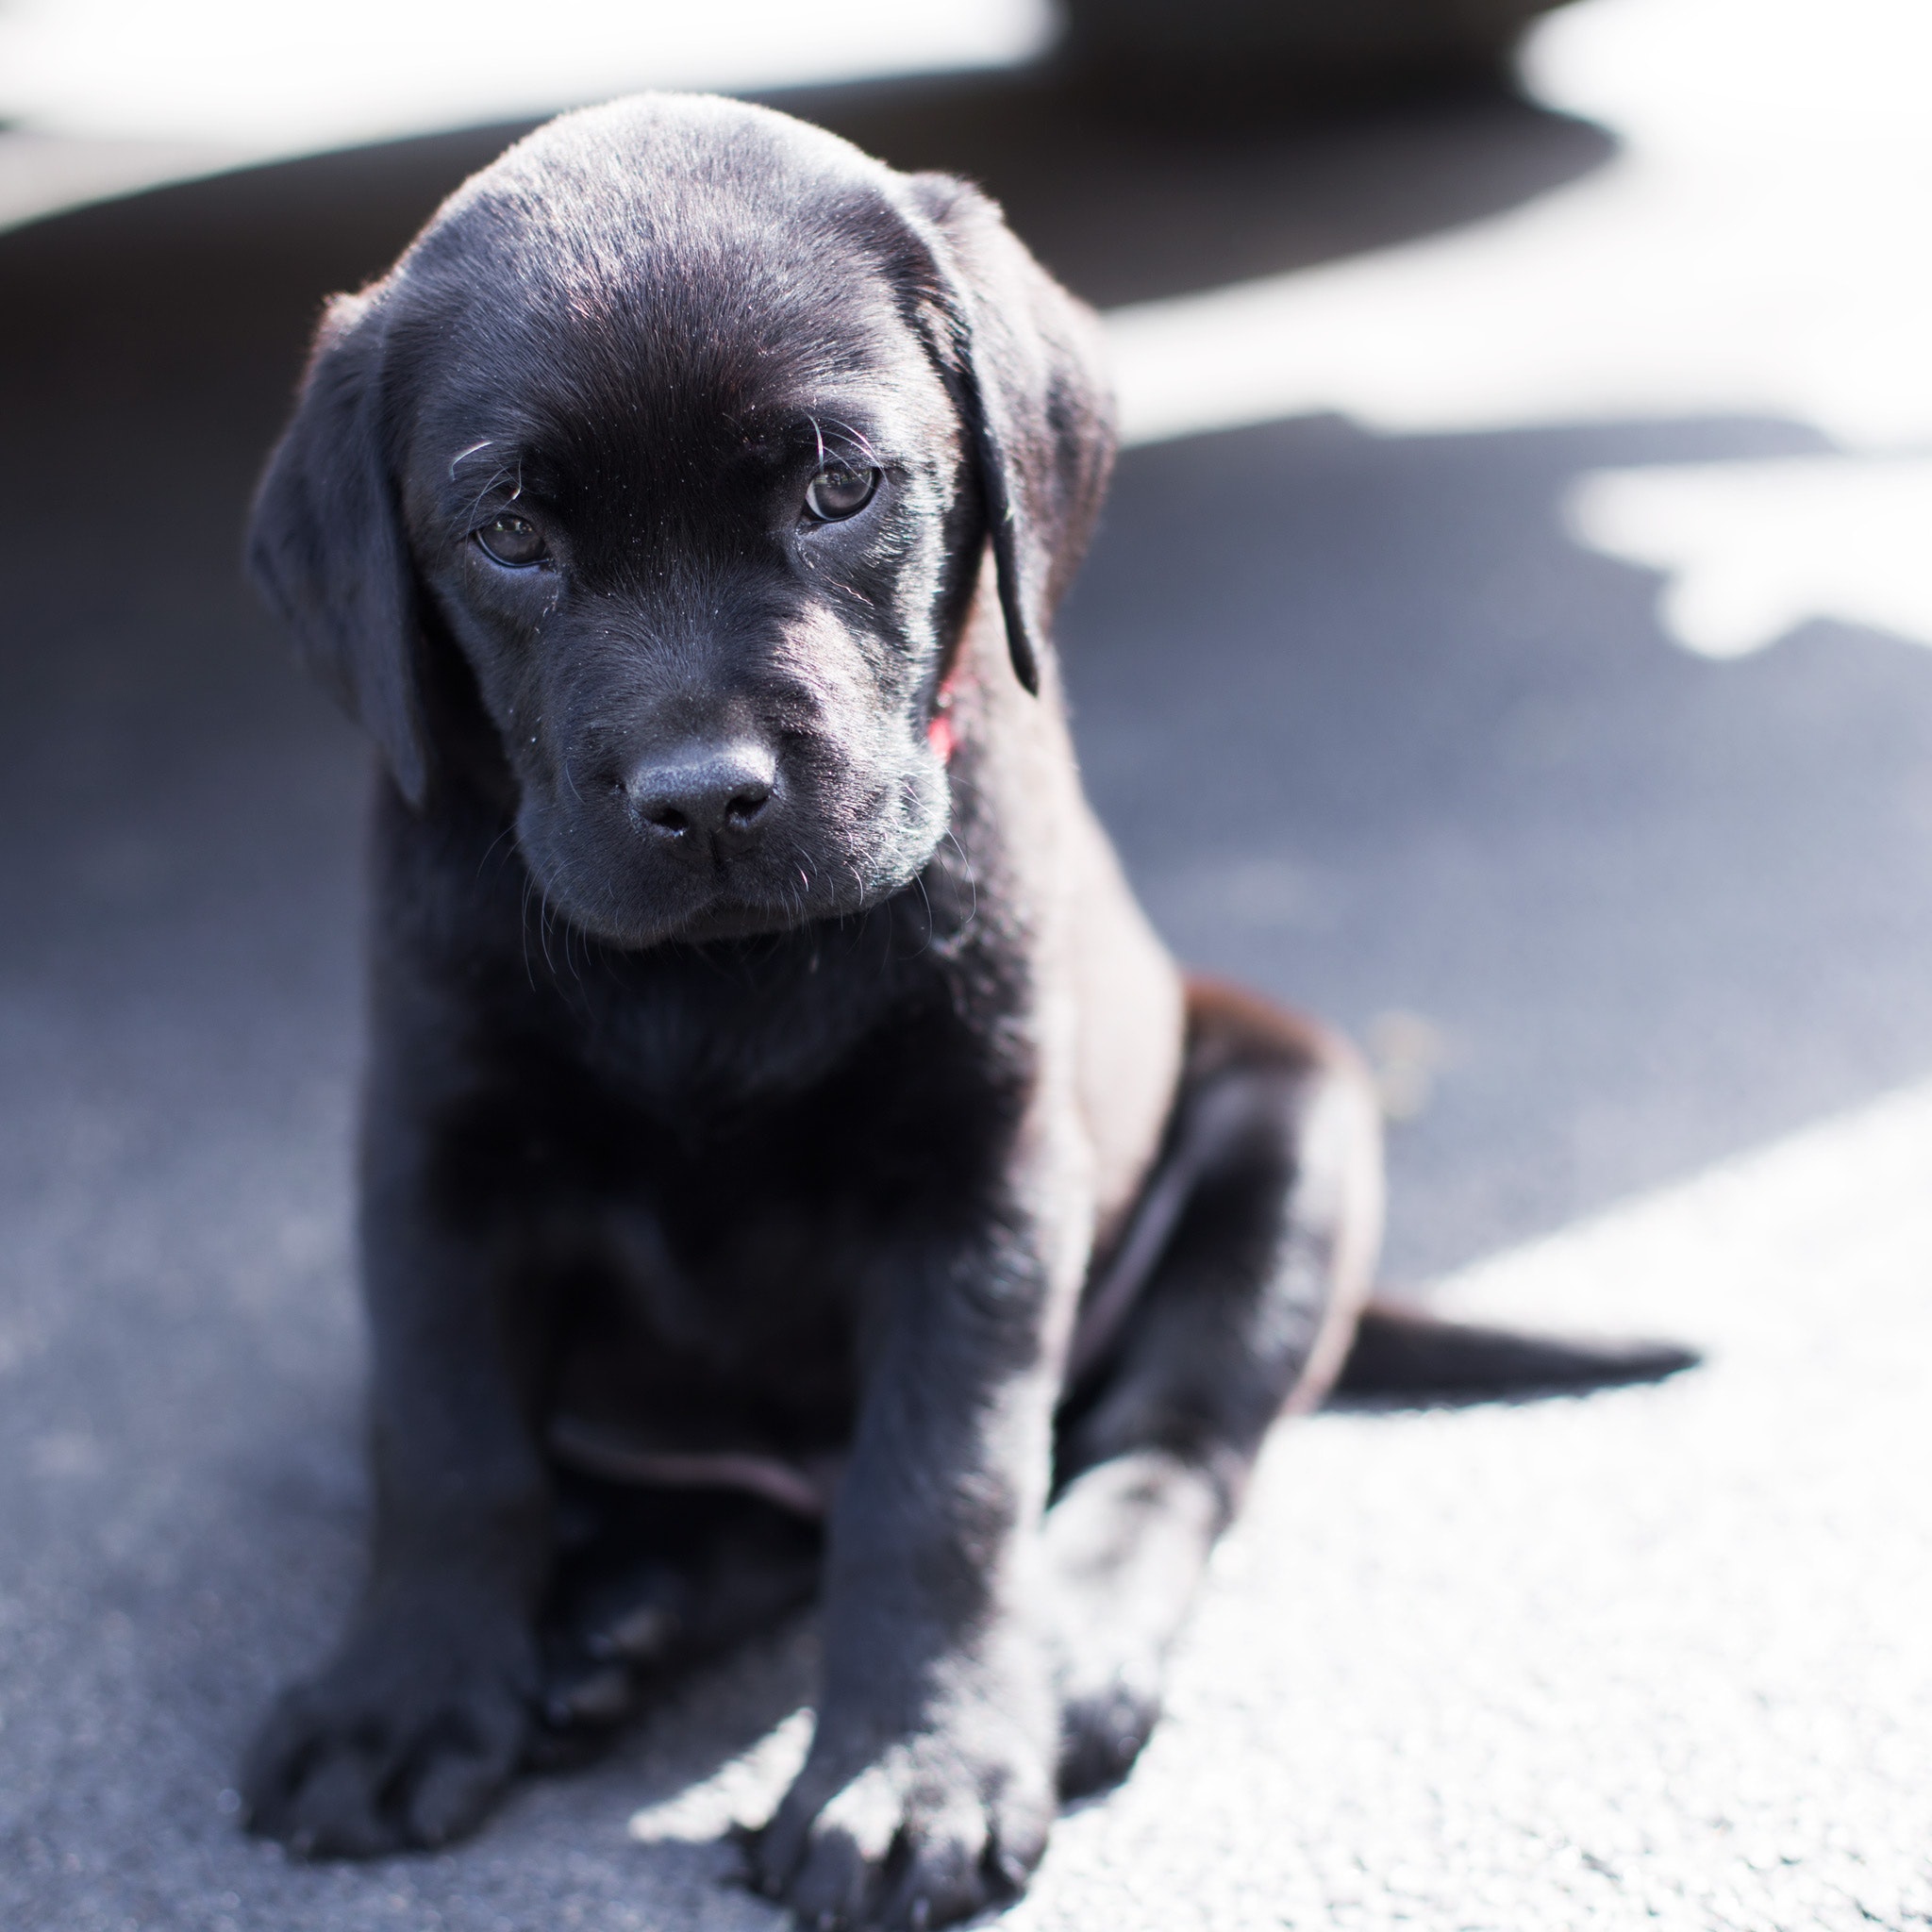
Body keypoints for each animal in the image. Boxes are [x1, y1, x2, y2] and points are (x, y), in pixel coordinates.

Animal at [242, 93, 1391, 1932]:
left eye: (840, 486)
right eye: (510, 532)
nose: (706, 798)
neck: (716, 978)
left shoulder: (984, 1173)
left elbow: (944, 1485)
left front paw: (913, 1772)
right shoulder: (433, 1147)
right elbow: (445, 1440)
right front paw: (400, 1697)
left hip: (1293, 1122)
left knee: (1164, 1446)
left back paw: (1061, 1648)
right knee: (745, 1513)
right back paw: (608, 1622)